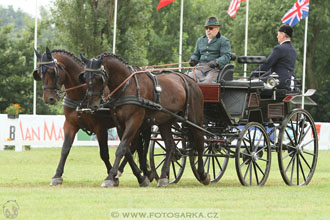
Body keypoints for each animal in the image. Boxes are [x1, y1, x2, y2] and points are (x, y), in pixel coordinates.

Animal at [32, 48, 151, 187]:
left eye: (52, 71)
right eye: (39, 73)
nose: (49, 99)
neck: (81, 95)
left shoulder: (100, 128)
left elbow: (105, 153)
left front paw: (113, 177)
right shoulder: (70, 125)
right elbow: (65, 149)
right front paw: (57, 176)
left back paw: (145, 174)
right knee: (135, 147)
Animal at [78, 52, 210, 186]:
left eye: (99, 78)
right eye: (85, 78)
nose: (92, 105)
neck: (127, 86)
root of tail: (191, 81)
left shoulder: (134, 121)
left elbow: (121, 148)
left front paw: (110, 177)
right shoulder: (120, 125)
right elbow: (127, 149)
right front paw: (134, 176)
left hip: (195, 119)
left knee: (200, 143)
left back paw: (202, 174)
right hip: (165, 122)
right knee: (170, 146)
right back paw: (163, 177)